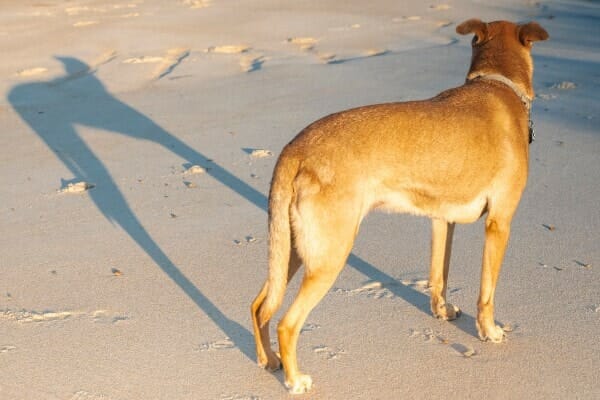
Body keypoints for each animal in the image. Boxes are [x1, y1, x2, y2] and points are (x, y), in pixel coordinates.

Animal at [248, 19, 548, 394]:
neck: (497, 83)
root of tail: (296, 148)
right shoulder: (499, 222)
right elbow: (486, 293)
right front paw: (489, 331)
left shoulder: (441, 220)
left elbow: (438, 275)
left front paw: (442, 311)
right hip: (329, 256)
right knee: (286, 323)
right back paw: (295, 379)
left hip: (293, 249)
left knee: (260, 306)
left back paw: (269, 361)